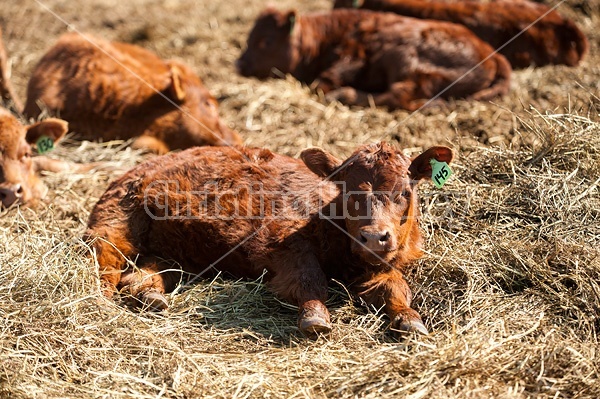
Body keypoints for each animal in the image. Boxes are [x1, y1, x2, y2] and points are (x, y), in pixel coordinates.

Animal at [85, 142, 454, 336]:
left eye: (405, 192)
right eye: (347, 190)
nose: (374, 237)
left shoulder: (381, 265)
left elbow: (396, 288)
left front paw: (409, 319)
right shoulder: (281, 247)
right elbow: (309, 279)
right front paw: (315, 318)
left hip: (175, 248)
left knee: (144, 270)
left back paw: (150, 294)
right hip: (116, 223)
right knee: (106, 262)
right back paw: (99, 299)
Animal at [238, 6, 510, 112]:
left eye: (266, 41)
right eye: (249, 37)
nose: (239, 64)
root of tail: (493, 55)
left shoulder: (352, 57)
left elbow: (322, 83)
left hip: (406, 61)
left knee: (398, 94)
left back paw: (345, 94)